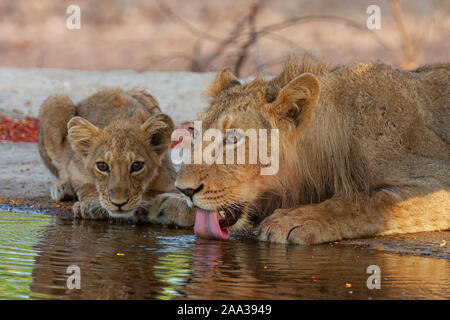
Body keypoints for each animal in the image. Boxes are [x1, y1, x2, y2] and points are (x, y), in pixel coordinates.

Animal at [38, 89, 193, 226]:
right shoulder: (75, 168)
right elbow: (86, 186)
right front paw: (90, 205)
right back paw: (63, 188)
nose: (119, 203)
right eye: (102, 166)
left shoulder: (171, 183)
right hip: (56, 101)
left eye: (137, 166)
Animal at [176, 57, 450, 242]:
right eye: (194, 132)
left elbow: (366, 202)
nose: (184, 190)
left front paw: (295, 219)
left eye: (232, 139)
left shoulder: (437, 176)